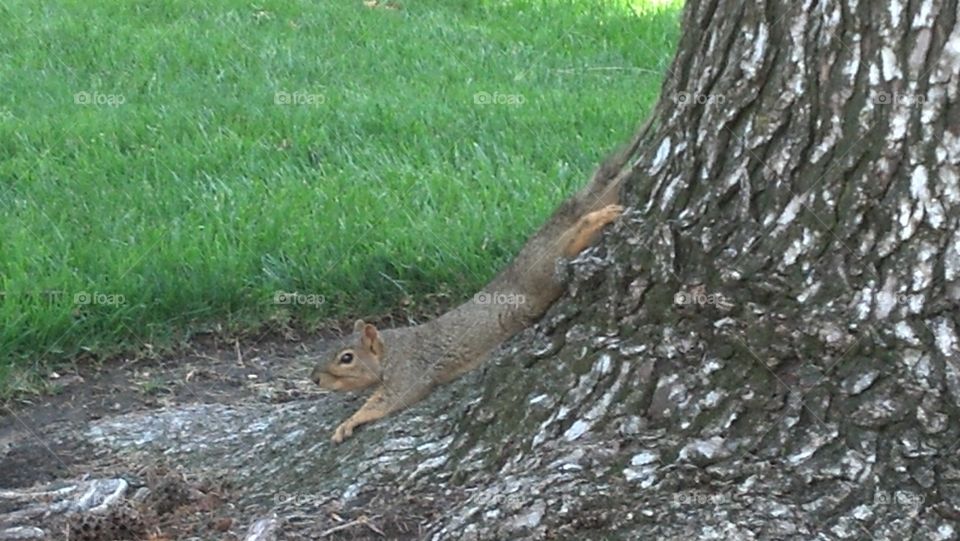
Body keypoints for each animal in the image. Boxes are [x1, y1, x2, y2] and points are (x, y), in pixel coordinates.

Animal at [310, 152, 633, 443]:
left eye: (346, 358)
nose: (314, 378)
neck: (391, 349)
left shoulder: (410, 369)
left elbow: (392, 398)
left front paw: (350, 422)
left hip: (539, 276)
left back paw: (596, 218)